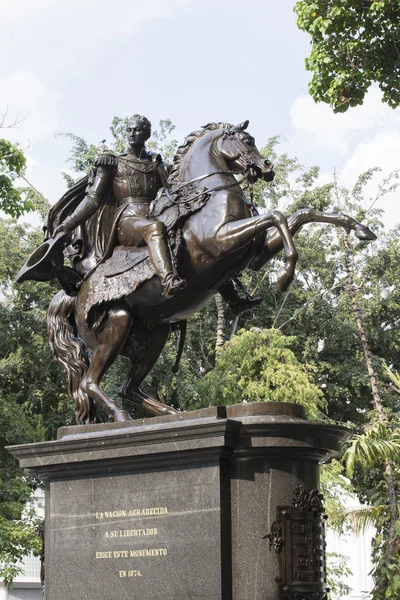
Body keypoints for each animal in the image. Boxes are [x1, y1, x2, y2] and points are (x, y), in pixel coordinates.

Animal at [47, 120, 376, 422]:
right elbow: (277, 215)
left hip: (156, 334)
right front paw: (285, 275)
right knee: (91, 382)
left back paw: (175, 415)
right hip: (117, 323)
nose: (267, 168)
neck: (209, 196)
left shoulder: (254, 255)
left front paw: (358, 228)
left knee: (130, 387)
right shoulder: (221, 241)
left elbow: (300, 214)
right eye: (247, 140)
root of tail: (75, 294)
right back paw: (122, 418)